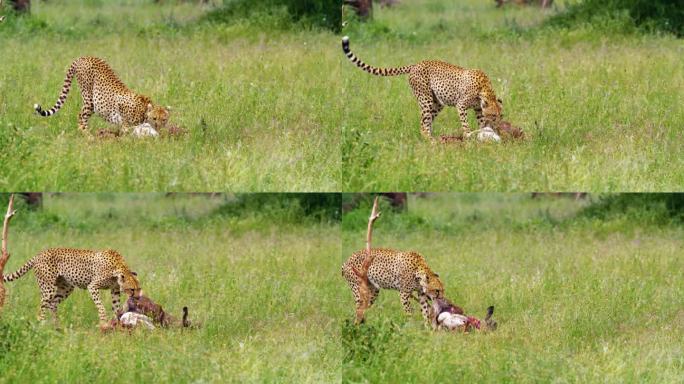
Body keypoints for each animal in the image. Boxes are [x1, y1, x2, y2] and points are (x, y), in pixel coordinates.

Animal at [2, 249, 142, 328]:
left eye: (139, 288)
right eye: (132, 289)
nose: (138, 298)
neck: (118, 267)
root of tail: (40, 253)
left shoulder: (115, 290)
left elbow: (116, 307)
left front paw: (117, 321)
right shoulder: (93, 286)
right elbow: (101, 306)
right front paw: (103, 321)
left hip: (67, 288)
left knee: (53, 304)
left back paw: (57, 326)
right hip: (48, 288)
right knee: (42, 307)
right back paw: (42, 324)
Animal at [34, 56, 170, 136]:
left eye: (164, 119)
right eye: (154, 118)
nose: (158, 126)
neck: (144, 111)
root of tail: (84, 57)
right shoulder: (124, 117)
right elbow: (126, 131)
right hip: (89, 99)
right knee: (80, 115)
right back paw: (87, 135)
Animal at [342, 36, 502, 140]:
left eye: (501, 116)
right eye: (494, 116)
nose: (498, 125)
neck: (486, 90)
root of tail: (416, 64)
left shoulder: (478, 109)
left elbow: (481, 122)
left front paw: (482, 134)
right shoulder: (461, 105)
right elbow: (465, 122)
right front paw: (468, 135)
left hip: (437, 102)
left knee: (427, 122)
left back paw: (433, 138)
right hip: (425, 99)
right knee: (423, 125)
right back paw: (431, 141)